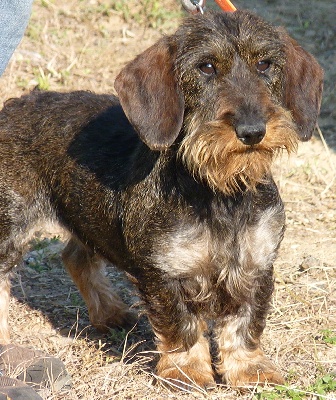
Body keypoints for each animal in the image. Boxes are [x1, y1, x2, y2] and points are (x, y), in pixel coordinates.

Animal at [0, 9, 322, 390]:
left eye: (265, 64)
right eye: (206, 67)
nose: (252, 131)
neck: (219, 191)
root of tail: (12, 107)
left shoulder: (255, 264)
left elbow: (244, 323)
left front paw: (250, 369)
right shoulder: (165, 272)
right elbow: (183, 327)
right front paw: (188, 371)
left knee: (76, 256)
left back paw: (110, 312)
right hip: (11, 228)